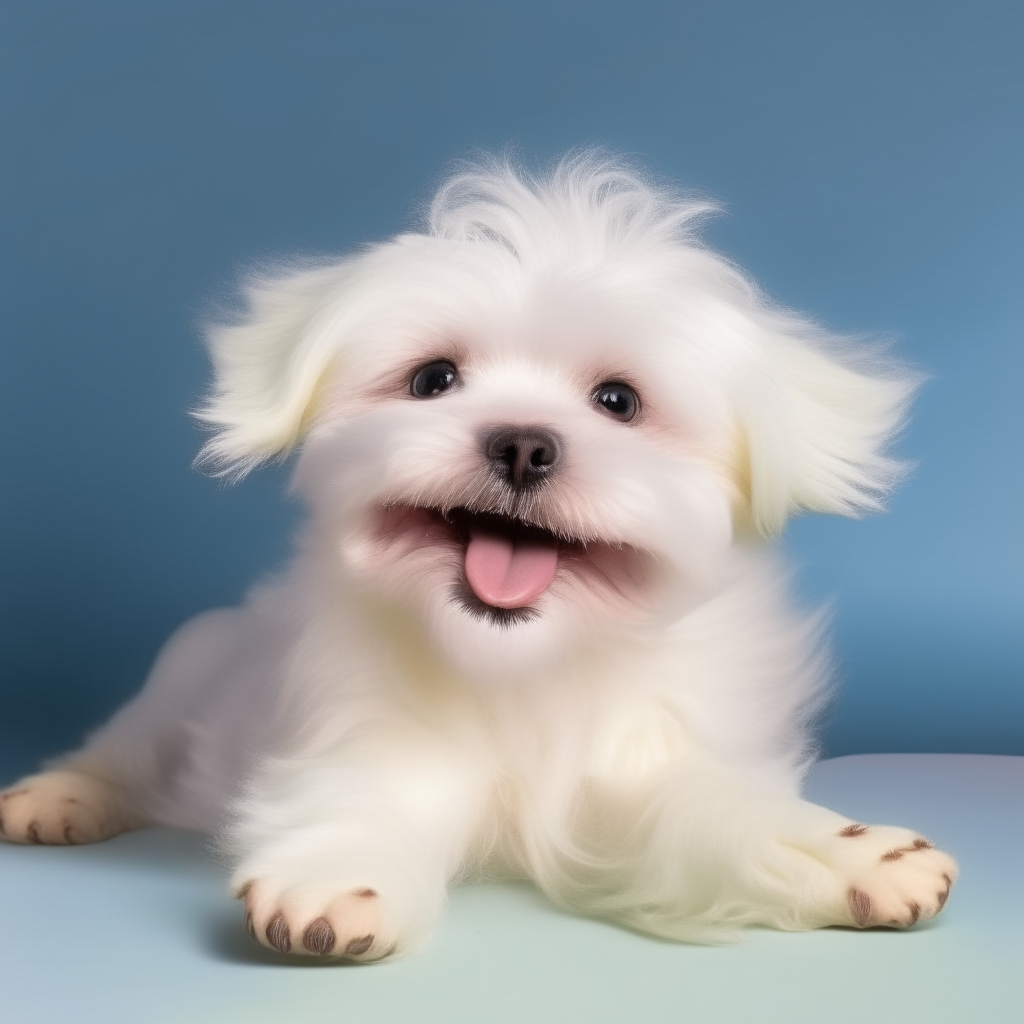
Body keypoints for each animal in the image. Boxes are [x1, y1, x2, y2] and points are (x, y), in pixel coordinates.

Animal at [2, 153, 958, 958]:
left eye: (618, 401)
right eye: (434, 380)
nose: (524, 444)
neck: (519, 665)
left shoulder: (638, 758)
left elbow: (715, 806)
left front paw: (851, 854)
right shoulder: (358, 728)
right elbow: (359, 794)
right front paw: (336, 877)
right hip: (181, 680)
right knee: (121, 750)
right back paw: (58, 799)